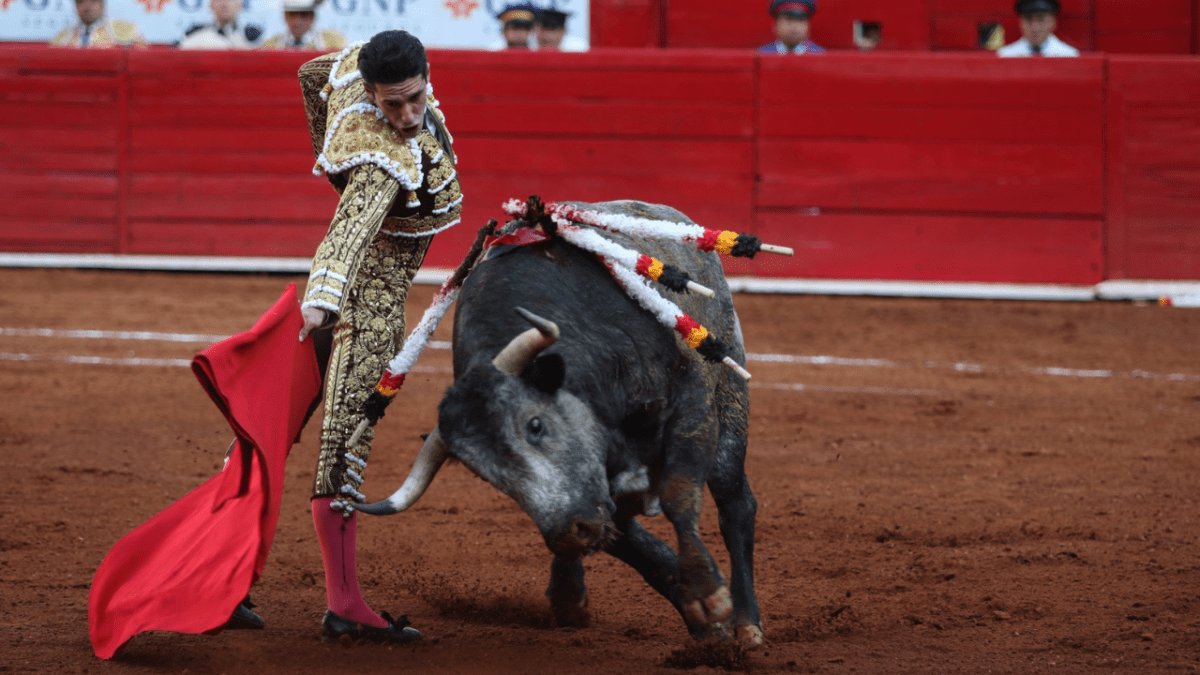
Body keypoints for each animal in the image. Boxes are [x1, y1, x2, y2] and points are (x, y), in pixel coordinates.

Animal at [360, 198, 763, 638]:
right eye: (487, 475)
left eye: (536, 425)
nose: (569, 534)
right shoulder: (596, 495)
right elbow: (629, 540)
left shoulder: (691, 407)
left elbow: (679, 496)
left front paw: (708, 595)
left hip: (731, 395)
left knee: (736, 504)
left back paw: (747, 621)